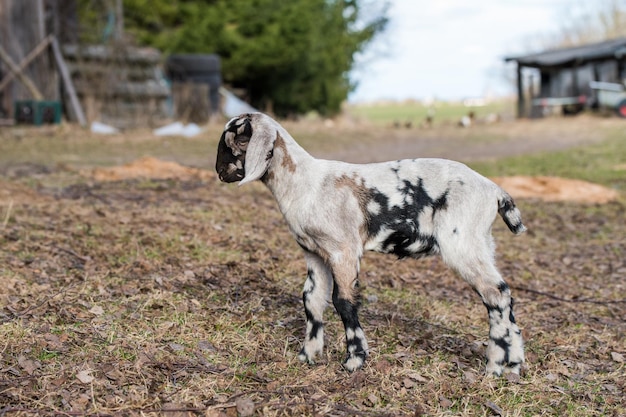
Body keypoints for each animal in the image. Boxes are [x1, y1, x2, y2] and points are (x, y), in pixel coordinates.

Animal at [217, 111, 524, 374]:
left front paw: (354, 360)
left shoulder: (343, 250)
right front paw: (308, 355)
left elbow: (343, 301)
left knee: (495, 295)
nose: (220, 172)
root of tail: (495, 190)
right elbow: (312, 300)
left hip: (463, 244)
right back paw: (514, 363)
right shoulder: (314, 253)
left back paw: (494, 366)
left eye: (236, 139)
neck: (305, 182)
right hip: (482, 243)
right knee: (505, 296)